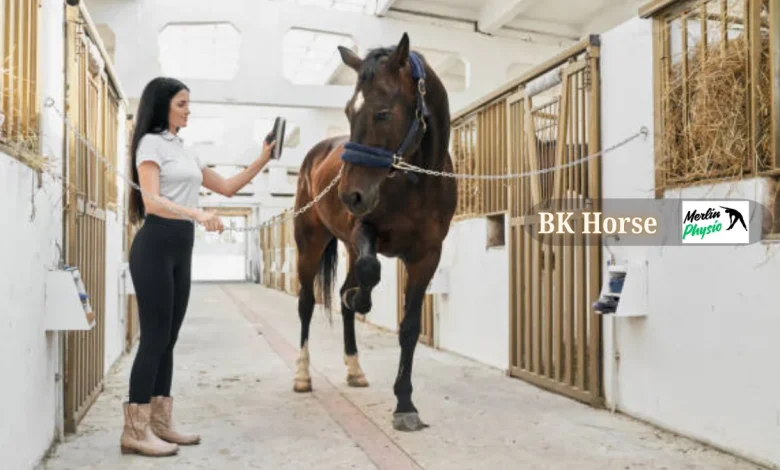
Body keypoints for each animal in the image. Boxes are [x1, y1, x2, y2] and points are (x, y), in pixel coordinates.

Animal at [291, 32, 457, 432]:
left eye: (383, 112)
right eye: (349, 112)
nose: (349, 196)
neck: (417, 183)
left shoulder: (427, 256)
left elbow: (409, 326)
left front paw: (405, 404)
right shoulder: (364, 230)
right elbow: (369, 274)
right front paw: (361, 299)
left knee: (340, 292)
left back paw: (354, 369)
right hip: (310, 243)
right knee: (306, 303)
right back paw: (302, 374)